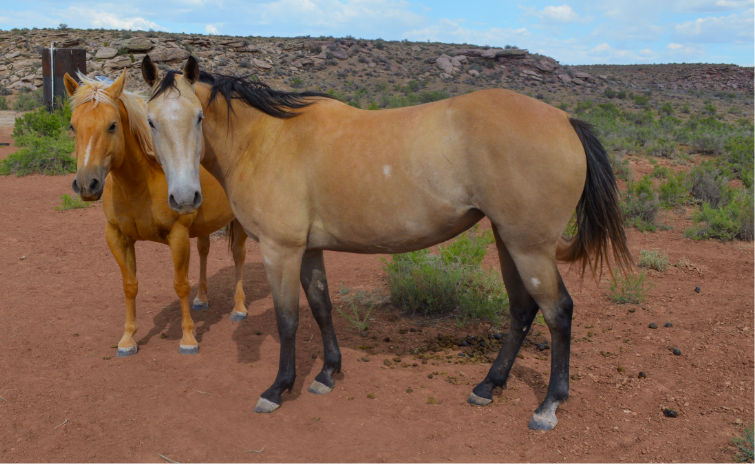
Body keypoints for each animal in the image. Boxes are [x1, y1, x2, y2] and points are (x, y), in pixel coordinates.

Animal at [63, 69, 250, 357]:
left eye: (112, 125)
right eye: (73, 126)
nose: (86, 184)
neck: (141, 182)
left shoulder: (178, 236)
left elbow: (180, 285)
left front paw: (188, 338)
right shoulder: (117, 238)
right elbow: (130, 285)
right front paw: (127, 339)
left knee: (239, 256)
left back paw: (239, 308)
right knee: (204, 250)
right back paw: (201, 299)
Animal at [141, 55, 631, 430]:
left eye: (199, 118)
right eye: (150, 121)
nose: (184, 198)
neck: (266, 139)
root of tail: (565, 119)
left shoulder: (281, 250)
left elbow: (288, 321)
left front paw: (279, 389)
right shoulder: (309, 250)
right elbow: (321, 308)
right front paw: (327, 373)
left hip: (530, 247)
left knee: (558, 312)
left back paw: (548, 405)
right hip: (507, 239)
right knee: (522, 310)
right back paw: (488, 386)